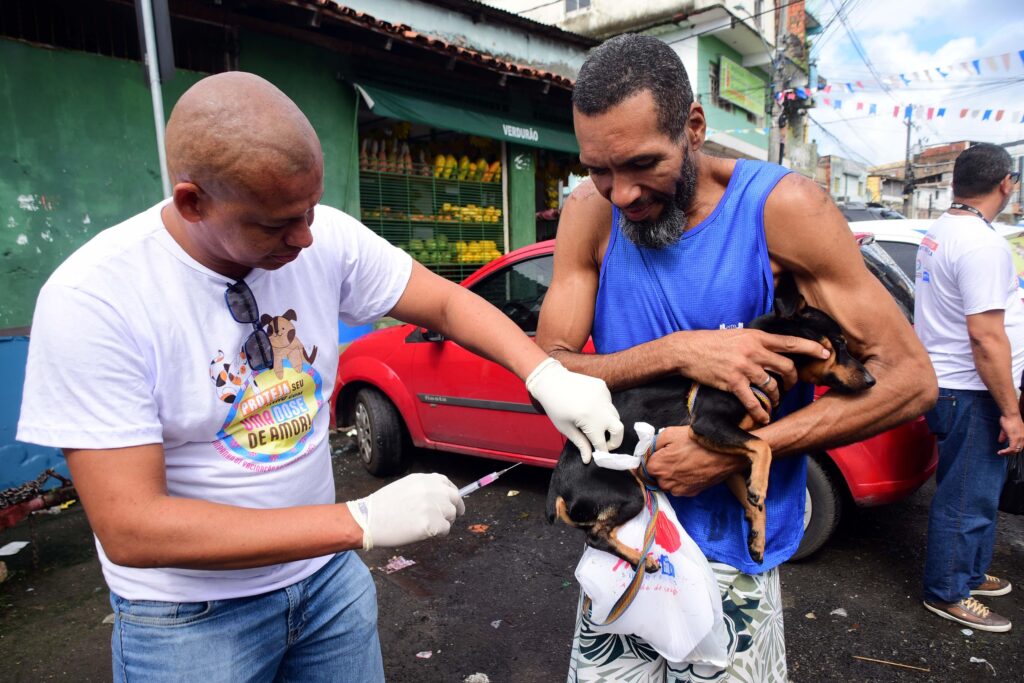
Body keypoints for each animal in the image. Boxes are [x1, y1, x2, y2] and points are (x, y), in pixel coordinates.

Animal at [548, 278, 876, 573]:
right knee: (595, 536)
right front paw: (760, 486)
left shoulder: (727, 461)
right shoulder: (709, 423)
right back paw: (642, 559)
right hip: (630, 493)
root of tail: (557, 487)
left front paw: (757, 537)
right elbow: (764, 446)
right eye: (838, 344)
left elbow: (755, 501)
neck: (764, 367)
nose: (872, 379)